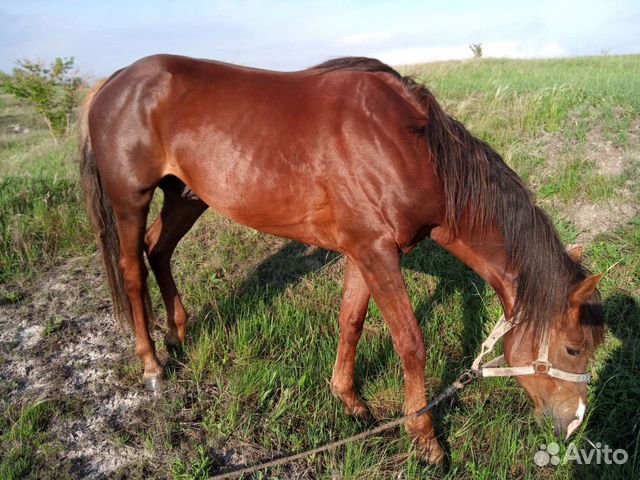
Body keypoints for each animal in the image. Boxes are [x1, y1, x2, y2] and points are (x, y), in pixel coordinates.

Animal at [77, 54, 604, 464]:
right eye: (573, 348)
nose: (574, 426)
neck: (404, 146)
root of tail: (115, 81)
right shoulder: (375, 252)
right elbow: (410, 343)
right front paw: (426, 442)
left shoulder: (363, 252)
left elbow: (351, 321)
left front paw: (350, 401)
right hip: (130, 201)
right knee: (132, 271)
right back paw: (152, 366)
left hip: (186, 196)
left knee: (158, 251)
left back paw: (178, 336)